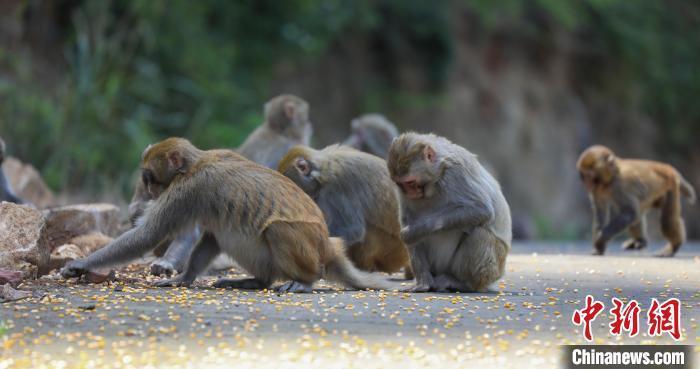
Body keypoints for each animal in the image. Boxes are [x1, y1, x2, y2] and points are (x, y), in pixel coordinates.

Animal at [61, 137, 394, 292]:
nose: (150, 190)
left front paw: (80, 264)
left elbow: (147, 235)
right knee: (227, 234)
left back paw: (305, 281)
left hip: (309, 251)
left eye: (149, 178)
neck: (194, 164)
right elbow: (210, 237)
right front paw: (184, 277)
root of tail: (328, 246)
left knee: (277, 230)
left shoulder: (187, 191)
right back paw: (257, 281)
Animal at [386, 131, 512, 292]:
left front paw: (415, 231)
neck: (437, 176)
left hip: (493, 270)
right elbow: (407, 221)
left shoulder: (456, 173)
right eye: (400, 184)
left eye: (410, 182)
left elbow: (480, 209)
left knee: (480, 233)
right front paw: (423, 282)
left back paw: (460, 282)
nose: (410, 193)